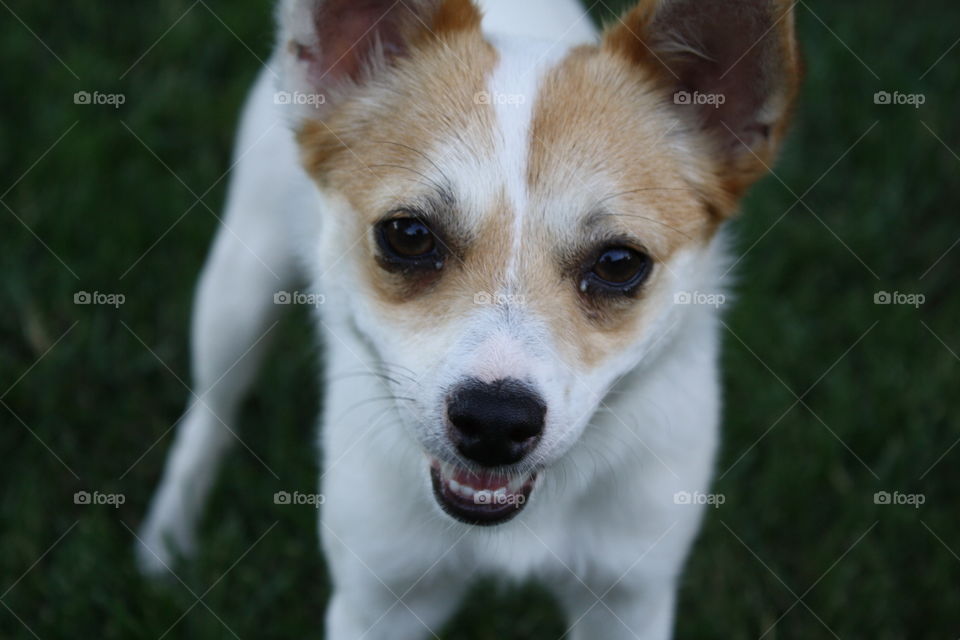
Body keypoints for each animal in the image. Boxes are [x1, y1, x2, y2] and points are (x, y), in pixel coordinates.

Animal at [141, 1, 804, 636]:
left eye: (620, 263)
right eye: (408, 234)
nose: (494, 421)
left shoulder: (628, 600)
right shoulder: (378, 601)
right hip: (236, 292)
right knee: (211, 412)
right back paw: (166, 539)